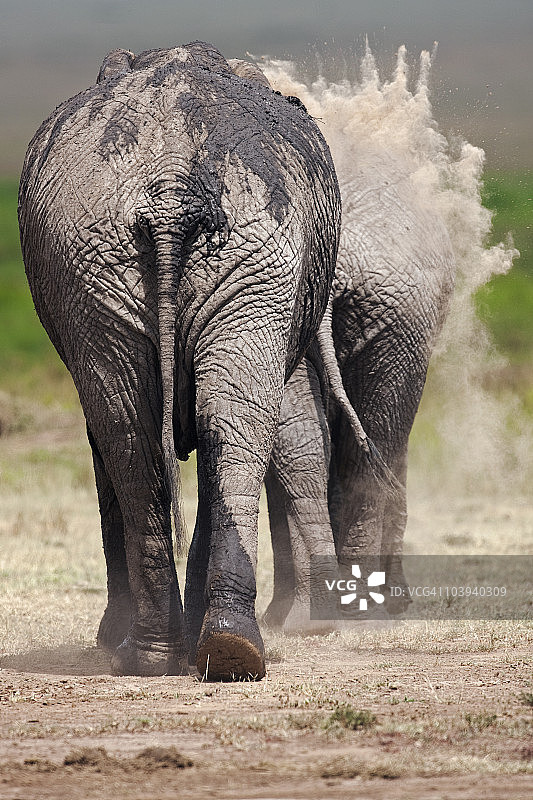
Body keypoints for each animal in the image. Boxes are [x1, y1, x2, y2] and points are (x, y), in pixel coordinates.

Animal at [18, 41, 341, 679]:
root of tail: (170, 193)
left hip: (220, 260)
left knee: (148, 431)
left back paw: (182, 652)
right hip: (138, 261)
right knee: (187, 428)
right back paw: (203, 651)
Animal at [264, 150, 456, 631]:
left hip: (384, 314)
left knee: (315, 444)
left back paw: (307, 617)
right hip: (395, 315)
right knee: (372, 447)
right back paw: (352, 614)